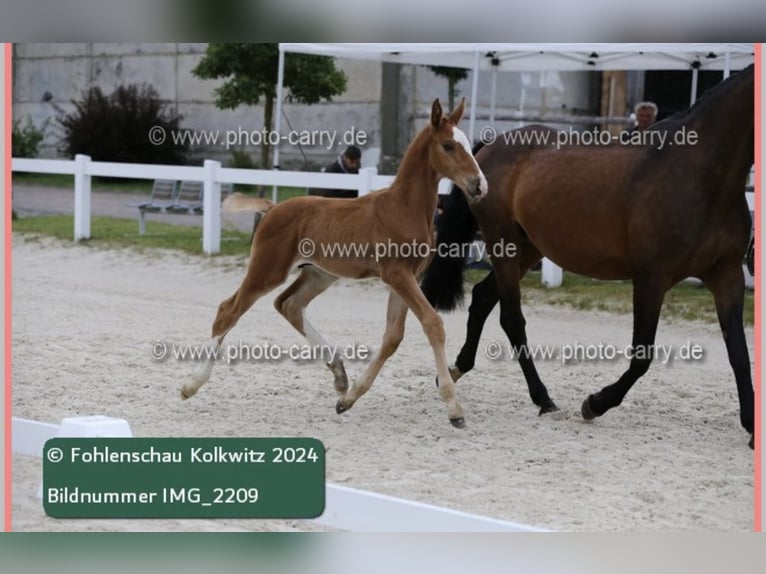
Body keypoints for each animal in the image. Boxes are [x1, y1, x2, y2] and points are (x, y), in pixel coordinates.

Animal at [183, 100, 488, 432]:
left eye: (468, 145)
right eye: (448, 145)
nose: (479, 185)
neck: (404, 208)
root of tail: (273, 208)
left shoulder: (406, 277)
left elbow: (393, 337)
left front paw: (349, 399)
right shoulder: (396, 274)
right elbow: (433, 324)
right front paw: (454, 408)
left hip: (319, 274)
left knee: (288, 304)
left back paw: (340, 375)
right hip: (268, 269)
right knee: (229, 310)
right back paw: (192, 384)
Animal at [424, 65, 760, 448]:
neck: (701, 175)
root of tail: (489, 149)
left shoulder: (727, 276)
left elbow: (739, 354)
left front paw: (751, 426)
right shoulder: (651, 278)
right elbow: (642, 356)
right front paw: (595, 404)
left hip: (527, 248)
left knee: (482, 299)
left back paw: (454, 371)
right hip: (503, 243)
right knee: (511, 319)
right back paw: (543, 398)